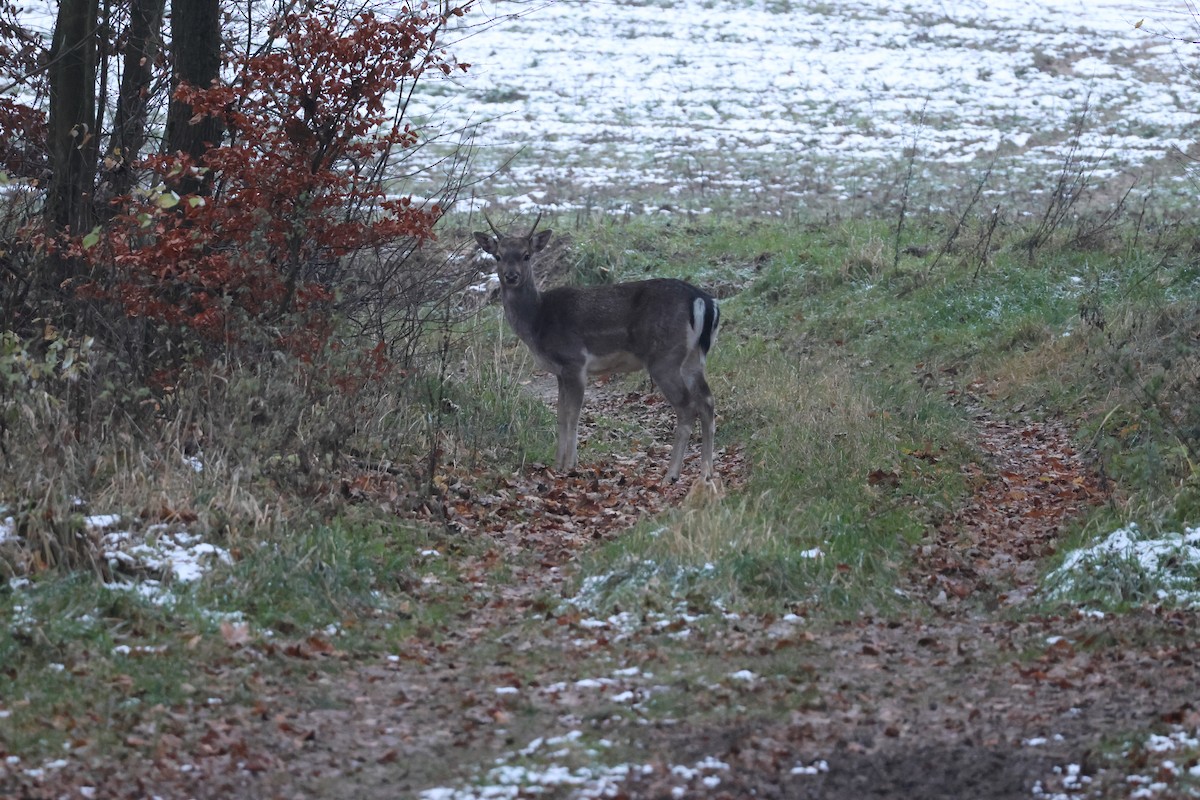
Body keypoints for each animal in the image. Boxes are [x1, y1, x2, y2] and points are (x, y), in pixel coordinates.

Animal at [474, 215, 720, 482]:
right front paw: (557, 464)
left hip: (665, 357)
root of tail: (703, 301)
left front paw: (569, 465)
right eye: (498, 256)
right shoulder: (560, 371)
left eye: (526, 255)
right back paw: (706, 472)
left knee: (687, 407)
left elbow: (573, 414)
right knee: (707, 402)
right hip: (693, 358)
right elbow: (560, 415)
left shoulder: (575, 360)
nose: (511, 276)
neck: (538, 322)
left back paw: (671, 474)